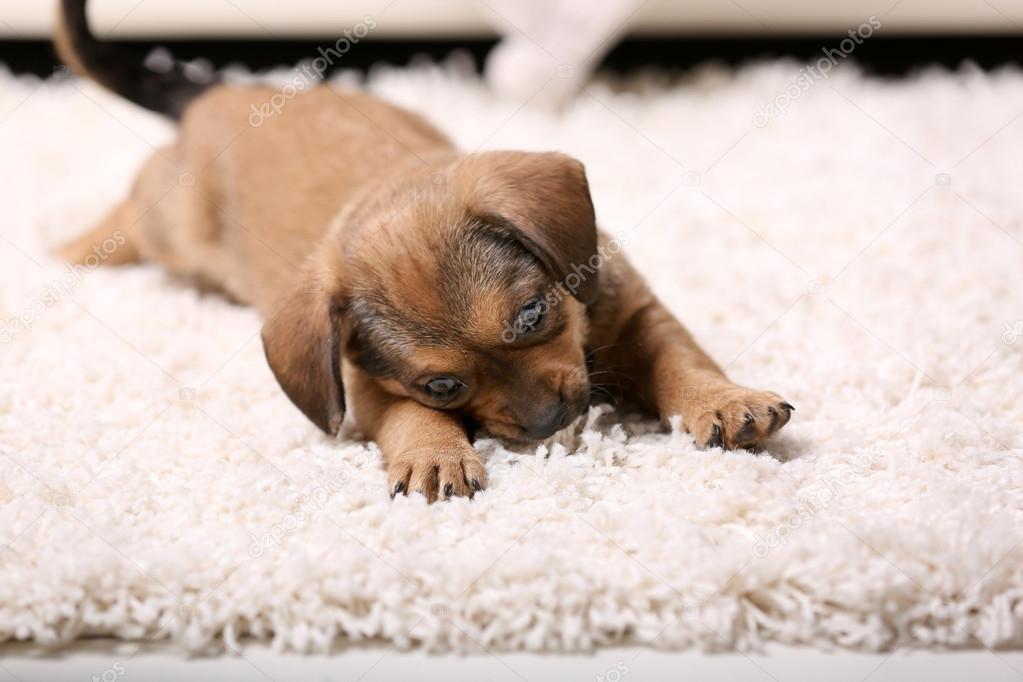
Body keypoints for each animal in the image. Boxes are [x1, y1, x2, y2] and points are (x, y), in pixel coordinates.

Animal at [51, 0, 793, 501]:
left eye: (532, 315)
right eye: (441, 386)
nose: (552, 421)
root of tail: (221, 91)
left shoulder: (637, 311)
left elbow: (681, 362)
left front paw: (723, 402)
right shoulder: (366, 387)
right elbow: (407, 415)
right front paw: (435, 454)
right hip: (170, 225)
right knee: (130, 214)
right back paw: (72, 249)